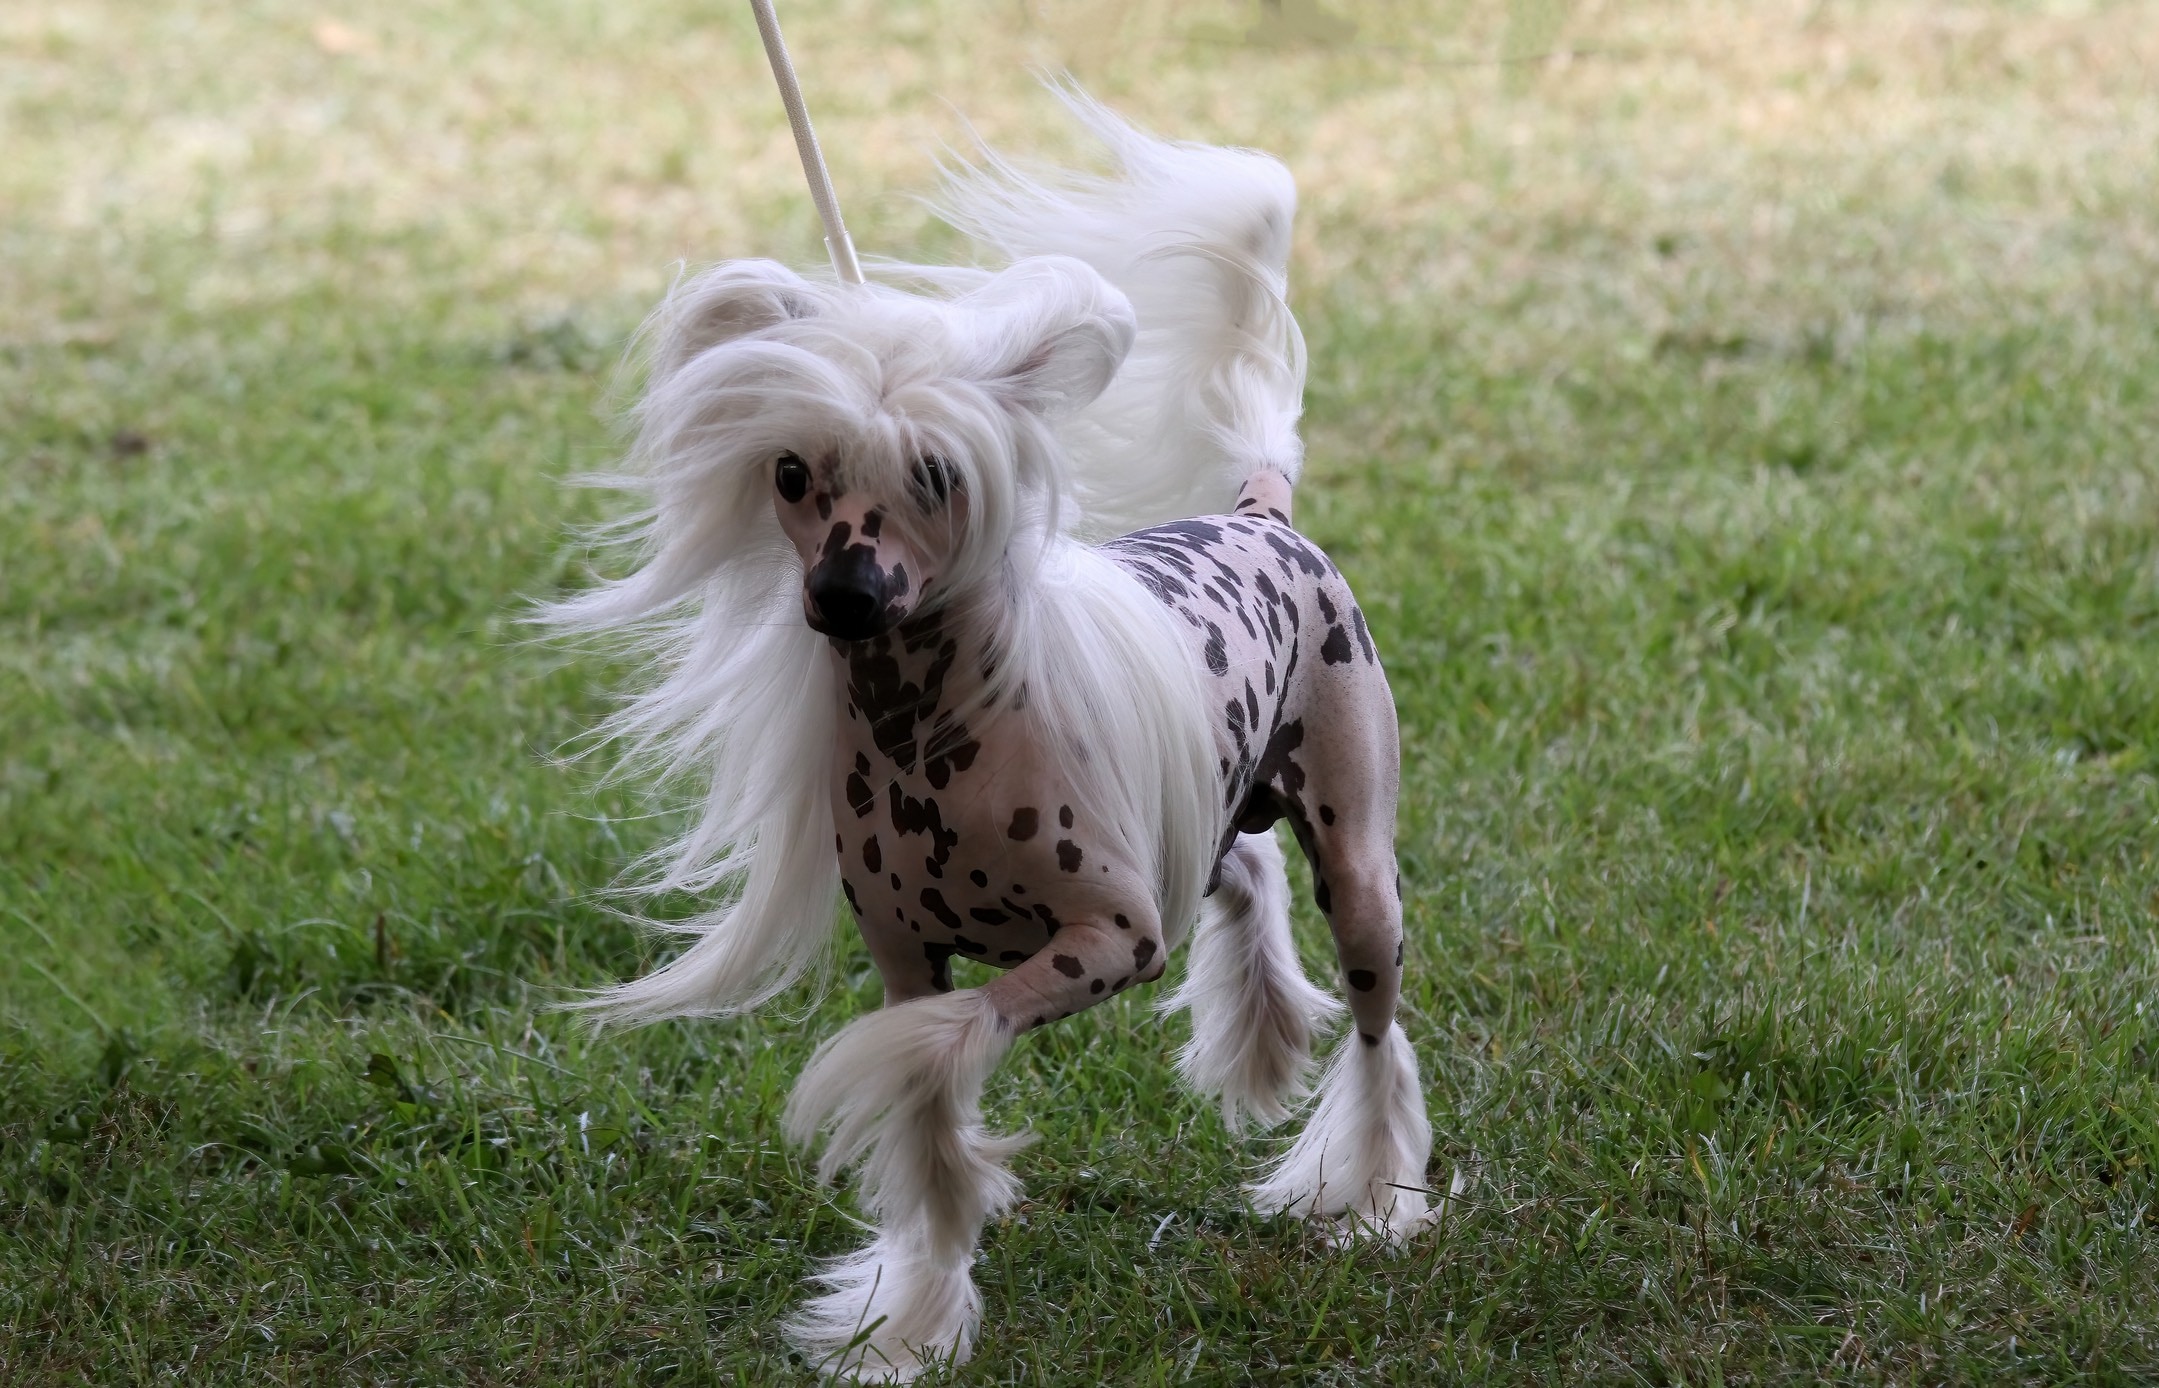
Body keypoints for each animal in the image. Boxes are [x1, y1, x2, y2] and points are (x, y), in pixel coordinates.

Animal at [552, 94, 1433, 1381]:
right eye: (790, 470)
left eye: (935, 473)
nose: (843, 594)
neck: (927, 734)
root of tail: (1260, 511)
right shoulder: (904, 951)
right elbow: (927, 1099)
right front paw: (908, 1322)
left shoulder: (1115, 935)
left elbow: (936, 1049)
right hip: (1205, 806)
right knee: (1246, 867)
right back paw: (1265, 1039)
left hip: (1356, 855)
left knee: (1373, 1028)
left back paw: (1368, 1194)